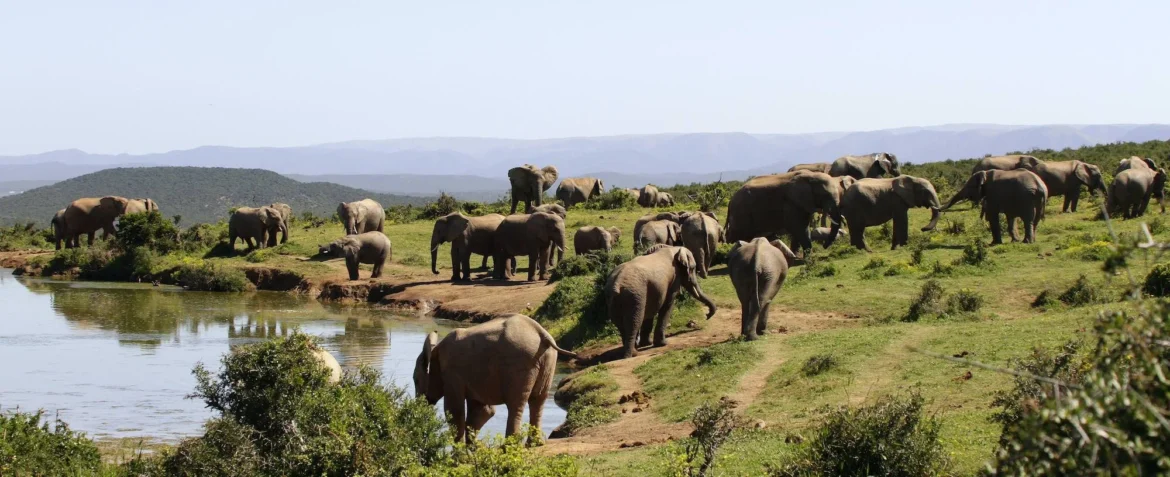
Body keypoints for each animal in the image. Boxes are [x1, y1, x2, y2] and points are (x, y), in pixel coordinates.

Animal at [413, 313, 578, 444]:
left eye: (416, 380)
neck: (434, 350)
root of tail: (542, 333)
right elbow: (482, 410)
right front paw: (471, 450)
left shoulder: (452, 373)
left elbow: (454, 410)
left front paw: (458, 454)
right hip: (547, 360)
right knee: (538, 400)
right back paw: (534, 445)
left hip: (520, 362)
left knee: (516, 404)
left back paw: (509, 447)